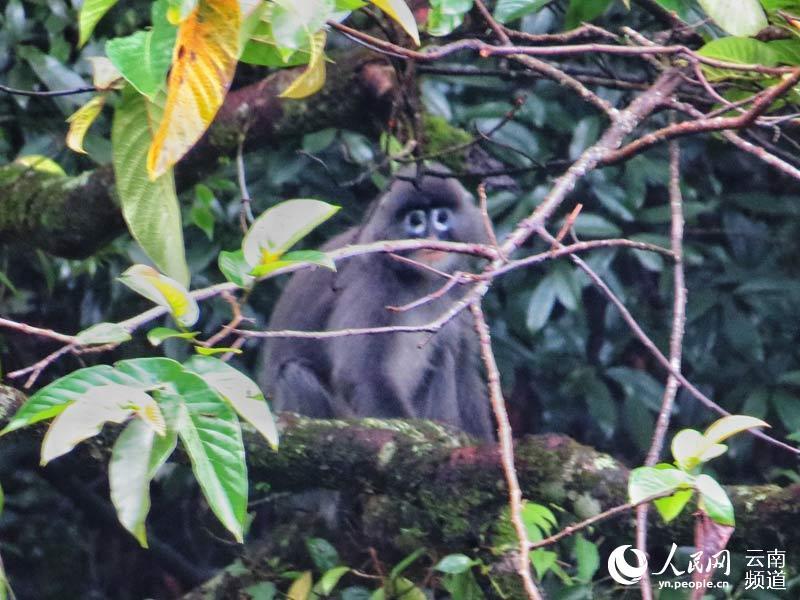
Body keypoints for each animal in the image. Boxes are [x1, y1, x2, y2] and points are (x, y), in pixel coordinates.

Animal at [260, 164, 494, 440]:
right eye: (415, 221)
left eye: (442, 217)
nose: (432, 236)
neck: (417, 279)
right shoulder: (372, 282)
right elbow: (361, 374)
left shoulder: (456, 290)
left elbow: (463, 372)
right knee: (295, 373)